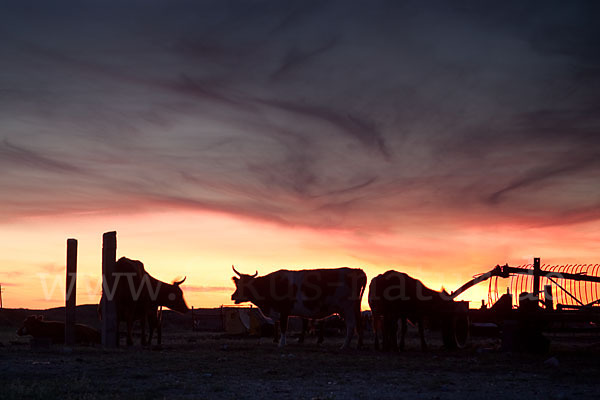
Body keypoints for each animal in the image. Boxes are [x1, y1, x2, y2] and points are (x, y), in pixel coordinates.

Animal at [231, 268, 366, 348]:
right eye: (238, 284)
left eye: (246, 285)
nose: (233, 296)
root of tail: (356, 270)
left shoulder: (284, 311)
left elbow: (283, 327)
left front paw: (282, 344)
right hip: (353, 308)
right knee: (359, 324)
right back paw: (358, 345)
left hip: (347, 308)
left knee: (351, 325)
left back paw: (345, 345)